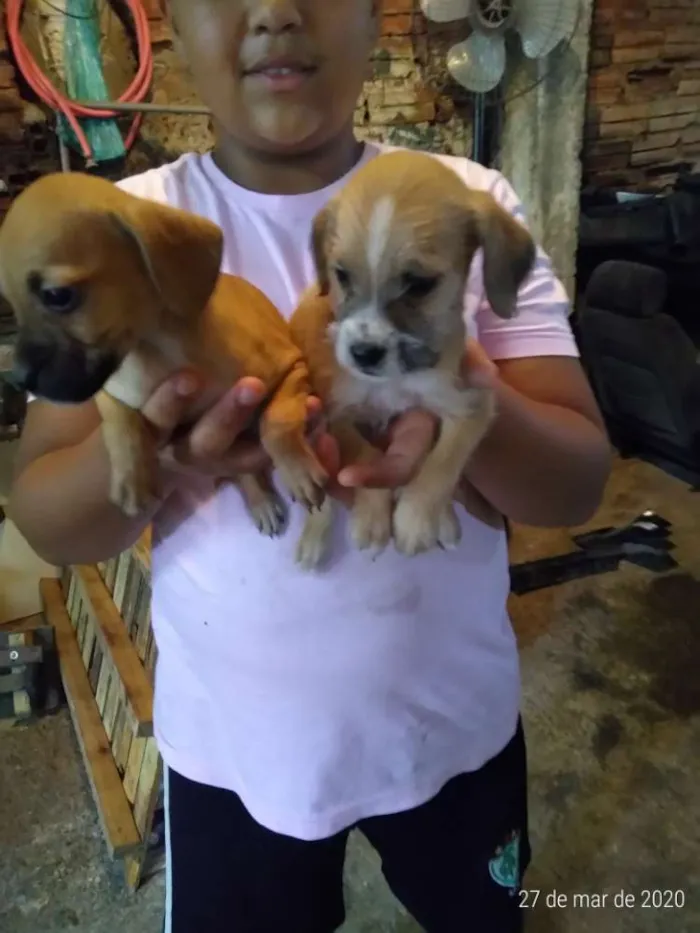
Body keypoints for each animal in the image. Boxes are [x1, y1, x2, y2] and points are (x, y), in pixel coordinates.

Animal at [0, 173, 326, 524]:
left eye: (58, 295)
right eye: (10, 305)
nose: (17, 380)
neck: (153, 351)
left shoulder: (291, 366)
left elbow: (277, 421)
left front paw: (298, 471)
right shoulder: (109, 388)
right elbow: (118, 421)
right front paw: (133, 478)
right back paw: (260, 500)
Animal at [290, 149, 536, 564]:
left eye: (420, 284)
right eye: (341, 274)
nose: (362, 354)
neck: (396, 379)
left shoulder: (472, 403)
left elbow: (442, 464)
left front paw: (416, 521)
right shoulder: (336, 411)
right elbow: (364, 455)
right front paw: (371, 520)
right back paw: (312, 538)